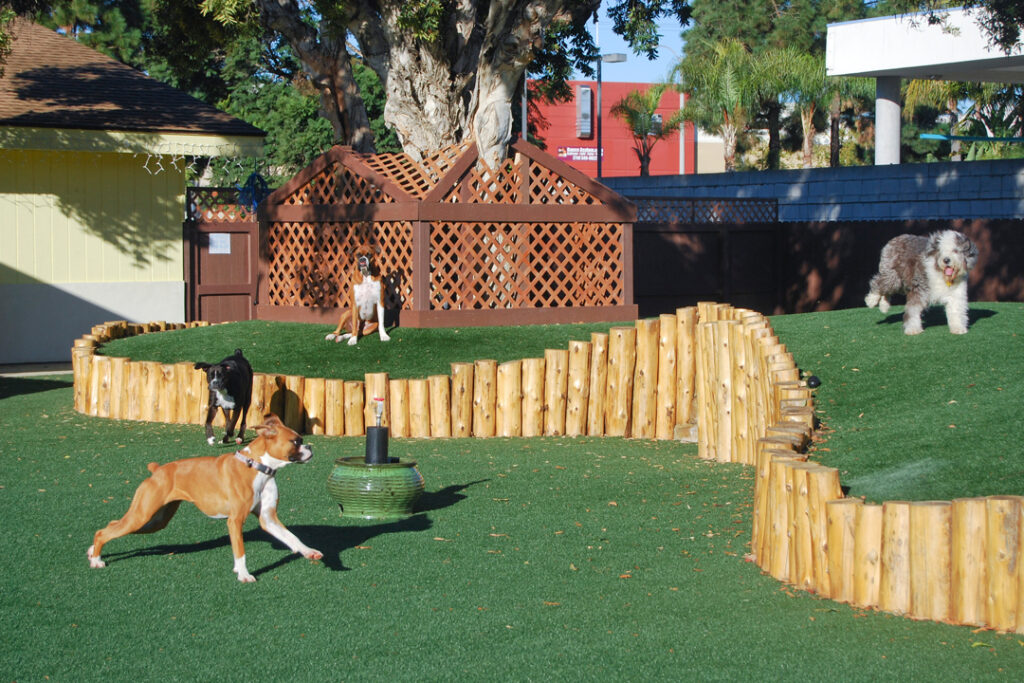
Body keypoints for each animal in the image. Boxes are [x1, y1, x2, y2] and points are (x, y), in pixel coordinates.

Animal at [86, 417, 321, 581]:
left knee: (111, 525)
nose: (310, 447)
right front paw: (244, 574)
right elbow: (240, 551)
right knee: (105, 532)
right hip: (142, 516)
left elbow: (291, 537)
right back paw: (97, 560)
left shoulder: (268, 519)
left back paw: (91, 551)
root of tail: (158, 470)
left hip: (153, 521)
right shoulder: (235, 521)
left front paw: (309, 551)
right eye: (296, 441)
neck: (258, 467)